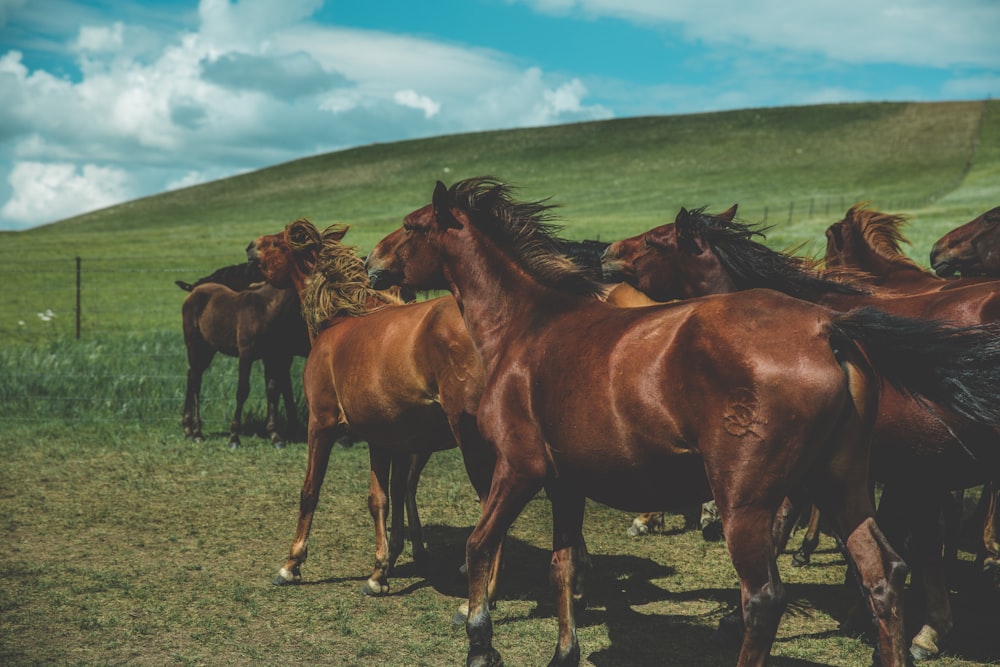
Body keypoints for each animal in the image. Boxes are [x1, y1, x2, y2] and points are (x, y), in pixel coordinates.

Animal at [179, 280, 304, 452]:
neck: (267, 308)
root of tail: (193, 291)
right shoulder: (246, 354)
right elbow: (242, 391)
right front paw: (234, 439)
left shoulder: (273, 356)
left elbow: (272, 391)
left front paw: (275, 437)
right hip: (194, 345)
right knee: (194, 380)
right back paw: (194, 432)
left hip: (208, 349)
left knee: (193, 377)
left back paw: (191, 431)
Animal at [247, 218, 504, 600]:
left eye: (278, 242)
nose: (250, 247)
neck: (341, 320)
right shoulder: (383, 439)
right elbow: (383, 497)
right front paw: (382, 569)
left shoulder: (320, 425)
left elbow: (310, 491)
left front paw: (291, 564)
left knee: (492, 503)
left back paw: (483, 589)